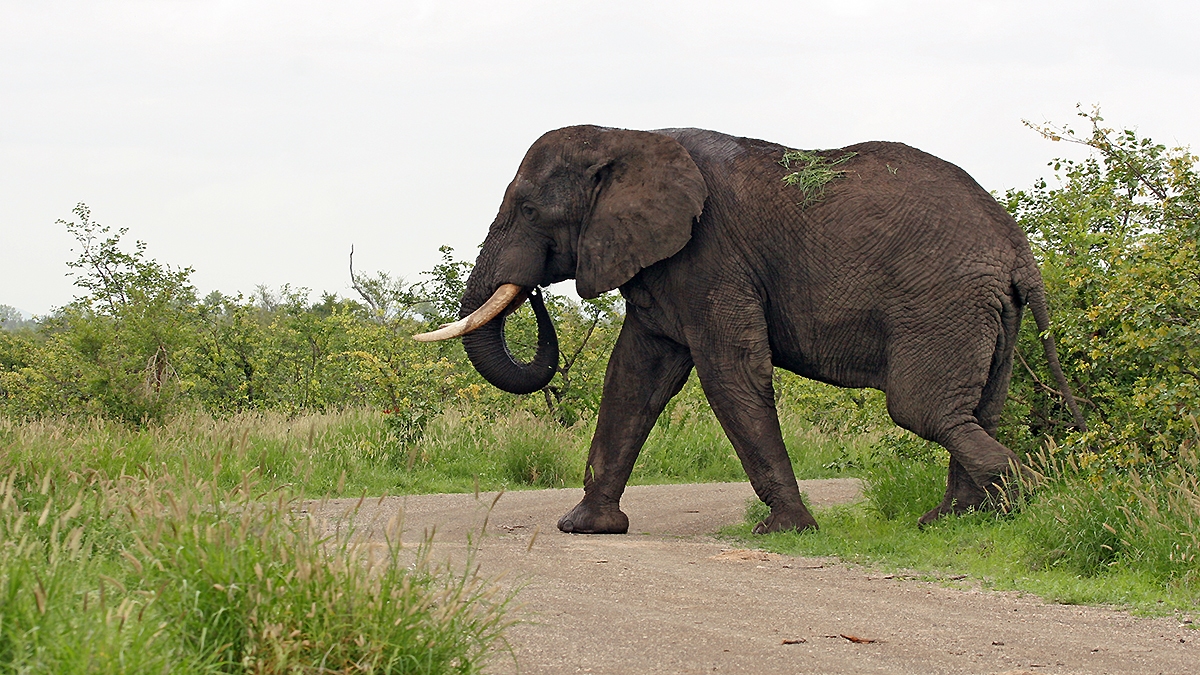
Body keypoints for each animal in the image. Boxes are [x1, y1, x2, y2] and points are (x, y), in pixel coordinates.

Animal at [415, 125, 1085, 534]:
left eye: (529, 209)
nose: (531, 292)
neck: (627, 136)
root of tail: (1018, 250)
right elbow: (634, 378)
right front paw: (584, 528)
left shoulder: (710, 256)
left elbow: (729, 373)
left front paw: (785, 531)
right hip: (987, 313)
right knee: (978, 410)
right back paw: (951, 522)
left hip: (942, 303)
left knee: (923, 410)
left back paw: (1019, 499)